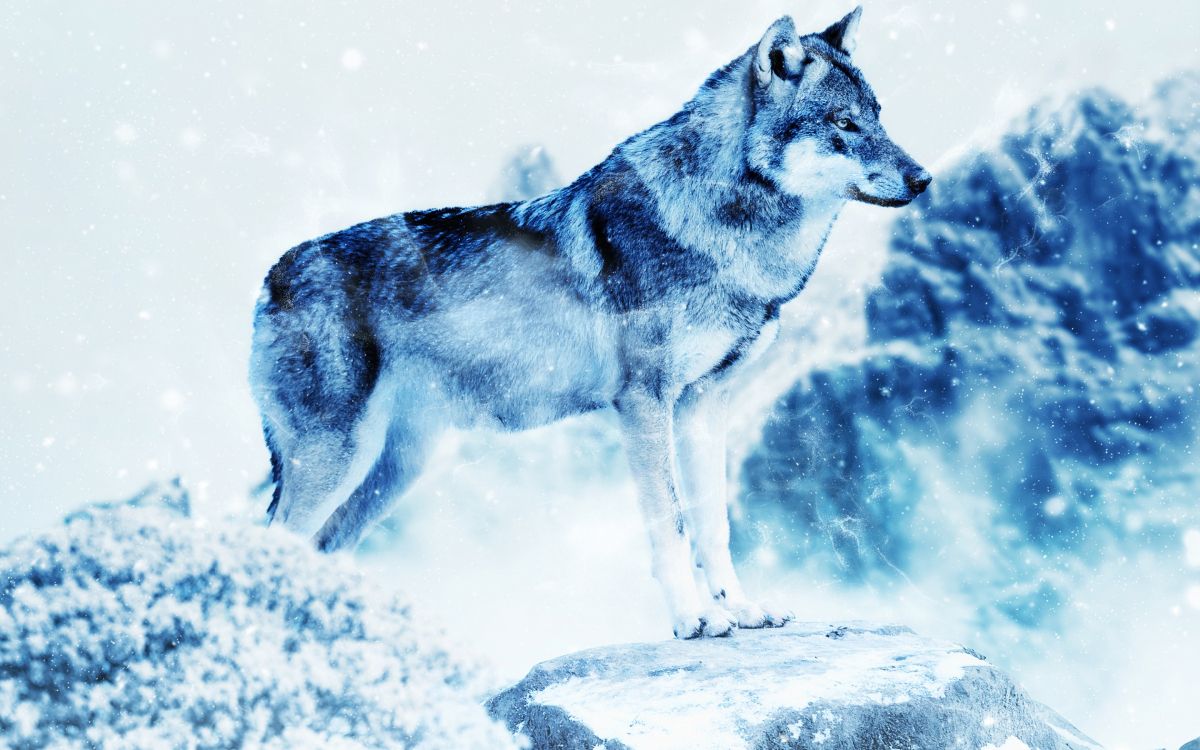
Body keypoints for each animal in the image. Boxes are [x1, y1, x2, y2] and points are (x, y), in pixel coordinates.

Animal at [250, 7, 930, 639]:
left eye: (878, 116)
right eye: (843, 124)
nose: (923, 178)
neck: (719, 231)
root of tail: (269, 278)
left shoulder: (706, 402)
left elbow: (714, 523)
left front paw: (741, 609)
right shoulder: (645, 401)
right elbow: (671, 521)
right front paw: (694, 620)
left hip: (395, 468)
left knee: (322, 548)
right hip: (337, 458)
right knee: (273, 542)